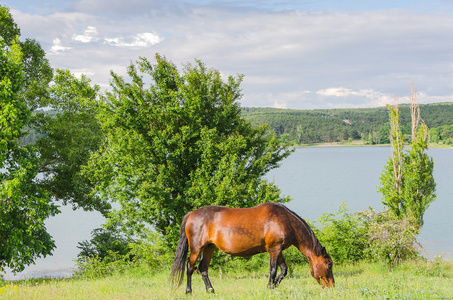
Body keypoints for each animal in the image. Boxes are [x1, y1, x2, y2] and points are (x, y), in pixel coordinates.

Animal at [168, 202, 334, 292]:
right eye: (328, 264)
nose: (331, 286)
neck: (285, 220)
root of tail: (191, 214)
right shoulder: (274, 249)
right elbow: (273, 270)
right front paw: (269, 287)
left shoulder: (277, 249)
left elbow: (283, 270)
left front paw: (274, 286)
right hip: (197, 248)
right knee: (190, 268)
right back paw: (189, 291)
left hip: (209, 247)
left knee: (203, 268)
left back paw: (211, 291)